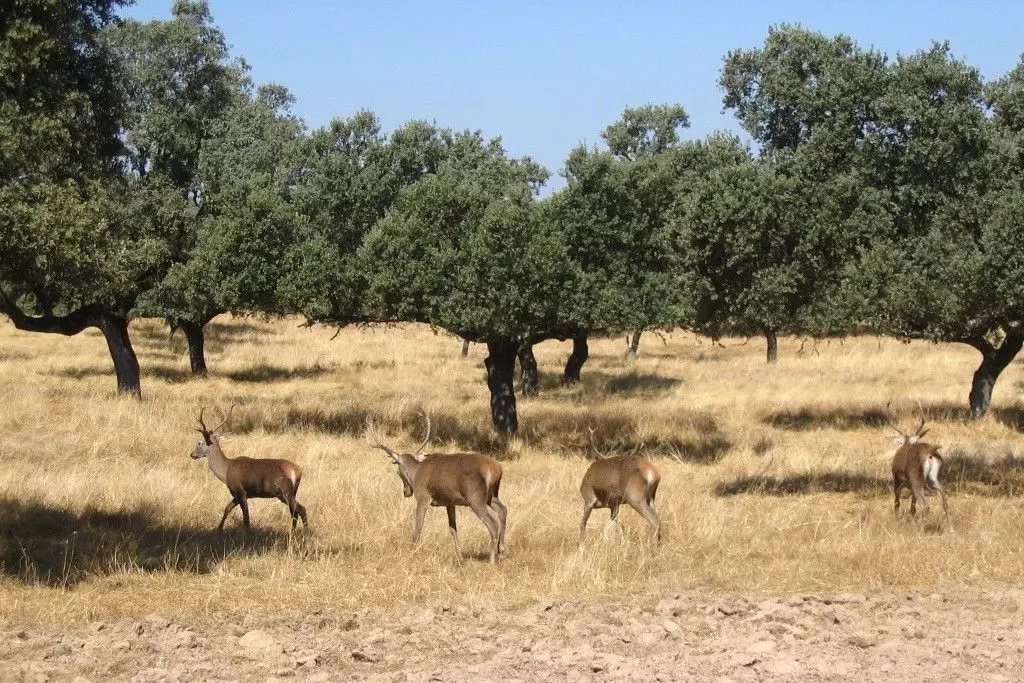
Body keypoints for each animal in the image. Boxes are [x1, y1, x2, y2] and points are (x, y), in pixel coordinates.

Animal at [370, 413, 509, 565]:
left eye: (398, 472)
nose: (406, 492)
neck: (416, 472)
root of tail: (495, 470)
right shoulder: (450, 502)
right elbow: (453, 528)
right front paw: (460, 557)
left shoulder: (423, 497)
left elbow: (418, 526)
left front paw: (412, 552)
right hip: (492, 496)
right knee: (503, 510)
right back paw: (501, 551)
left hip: (475, 497)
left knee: (493, 523)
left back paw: (492, 560)